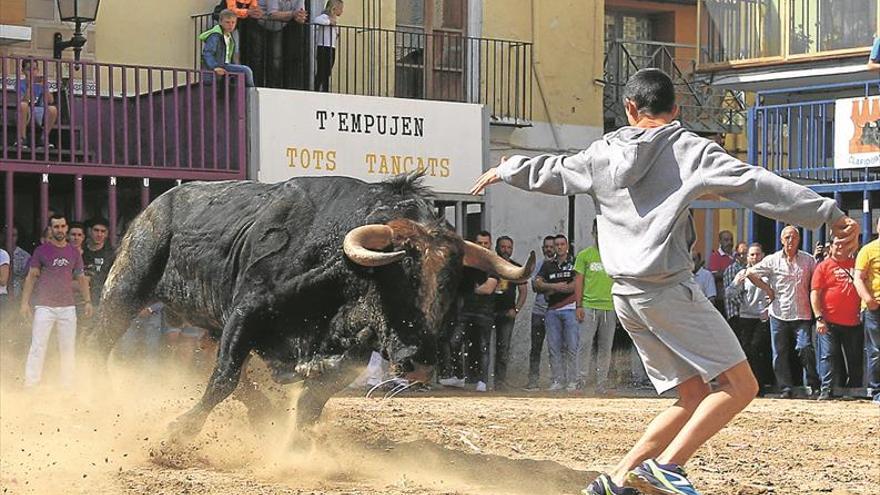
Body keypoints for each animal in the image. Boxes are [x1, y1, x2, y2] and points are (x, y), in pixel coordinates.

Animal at [89, 173, 532, 442]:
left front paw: (295, 446)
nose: (420, 363)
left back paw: (263, 413)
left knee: (207, 360)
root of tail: (156, 203)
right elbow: (223, 379)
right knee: (98, 341)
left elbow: (310, 401)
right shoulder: (245, 314)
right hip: (126, 285)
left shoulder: (351, 352)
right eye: (399, 275)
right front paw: (177, 433)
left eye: (452, 285)